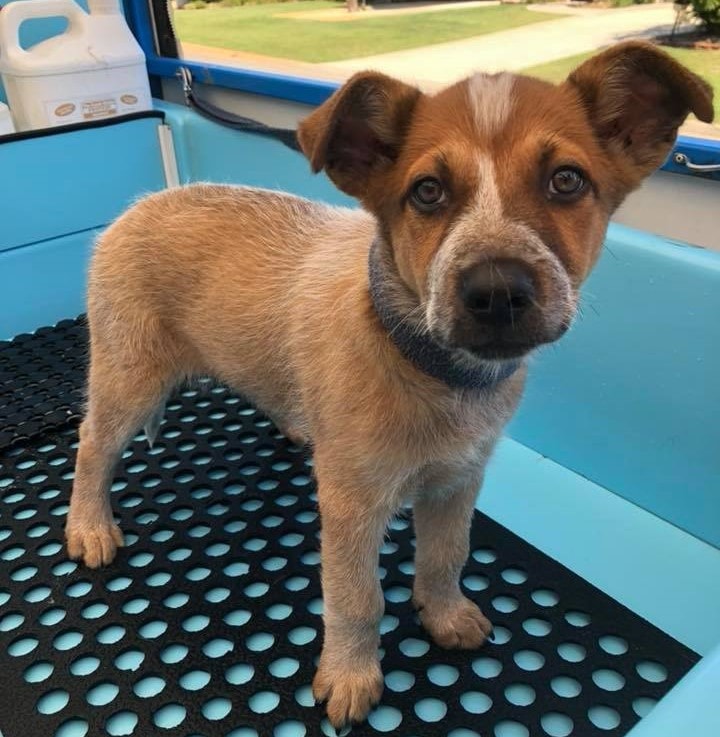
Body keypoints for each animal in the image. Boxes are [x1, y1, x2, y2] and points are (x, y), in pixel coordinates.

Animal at [64, 43, 712, 728]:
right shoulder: (353, 508)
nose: (497, 292)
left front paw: (444, 613)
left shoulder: (458, 481)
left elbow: (446, 556)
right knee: (91, 447)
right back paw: (89, 526)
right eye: (427, 192)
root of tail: (136, 208)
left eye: (567, 180)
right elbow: (358, 599)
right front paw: (351, 674)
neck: (431, 369)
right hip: (129, 379)